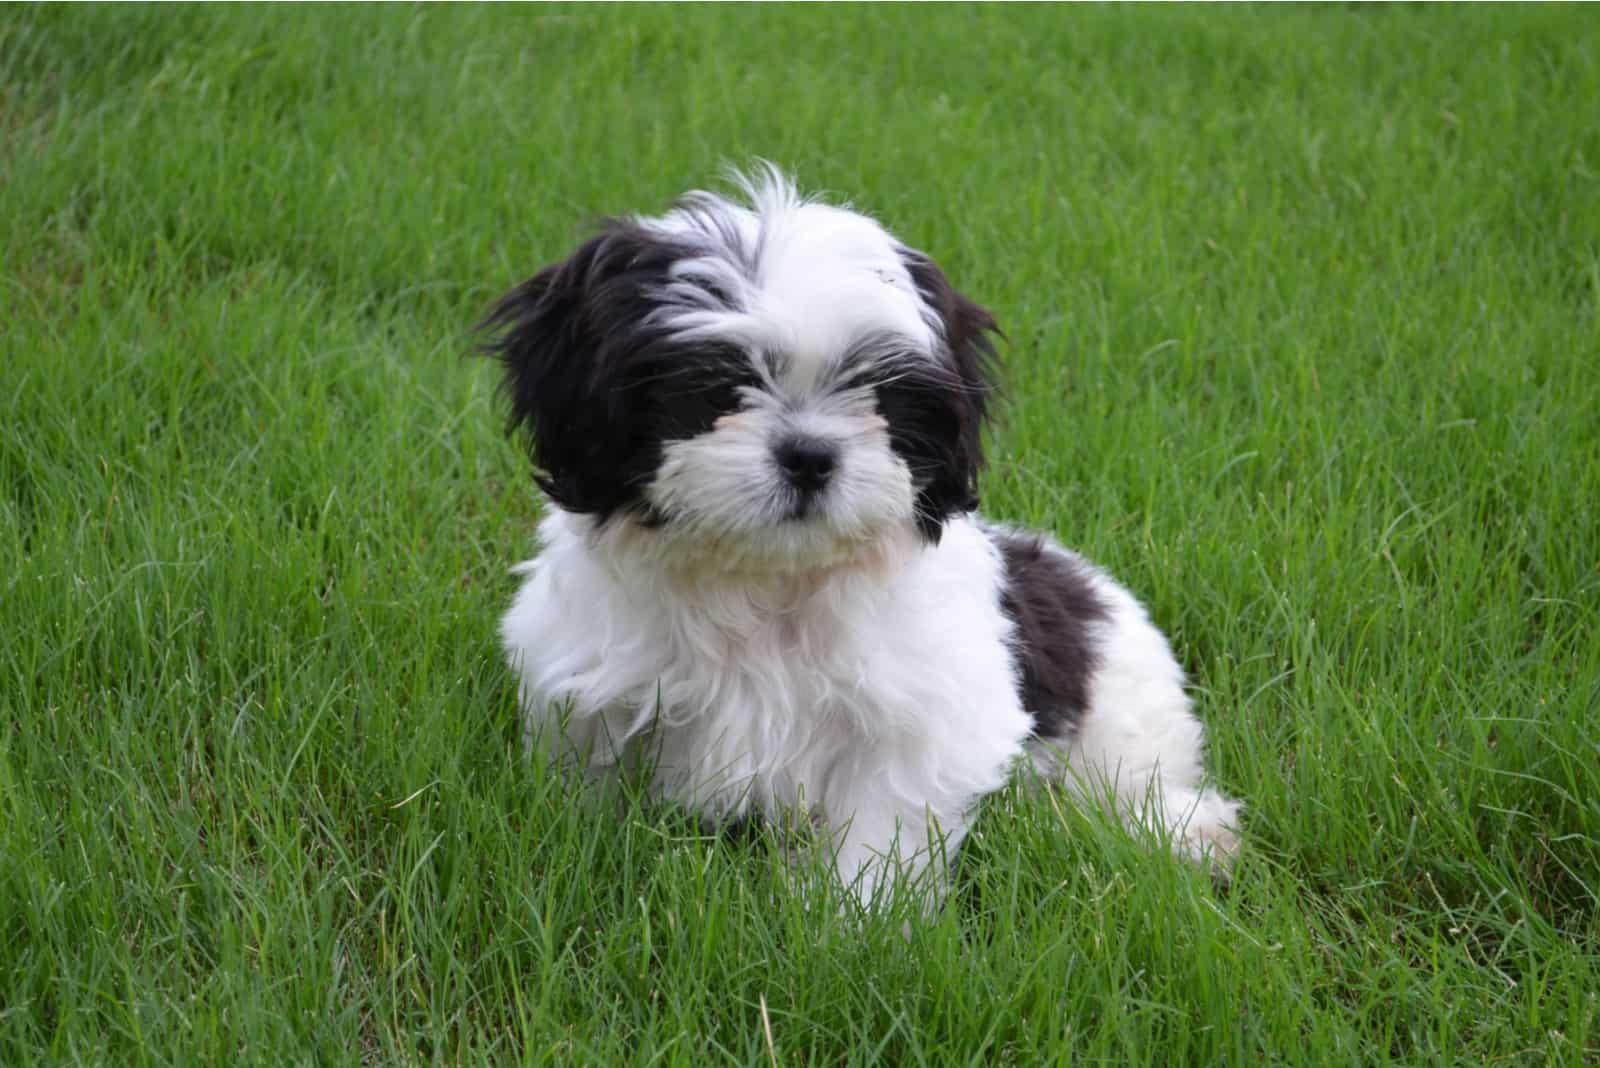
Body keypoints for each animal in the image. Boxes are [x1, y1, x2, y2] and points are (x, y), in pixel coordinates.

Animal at [480, 167, 1241, 901]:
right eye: (716, 389)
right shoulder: (591, 694)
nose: (810, 454)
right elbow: (591, 790)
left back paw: (1185, 833)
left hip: (1120, 709)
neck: (768, 583)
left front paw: (855, 918)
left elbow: (883, 826)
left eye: (877, 396)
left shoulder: (921, 715)